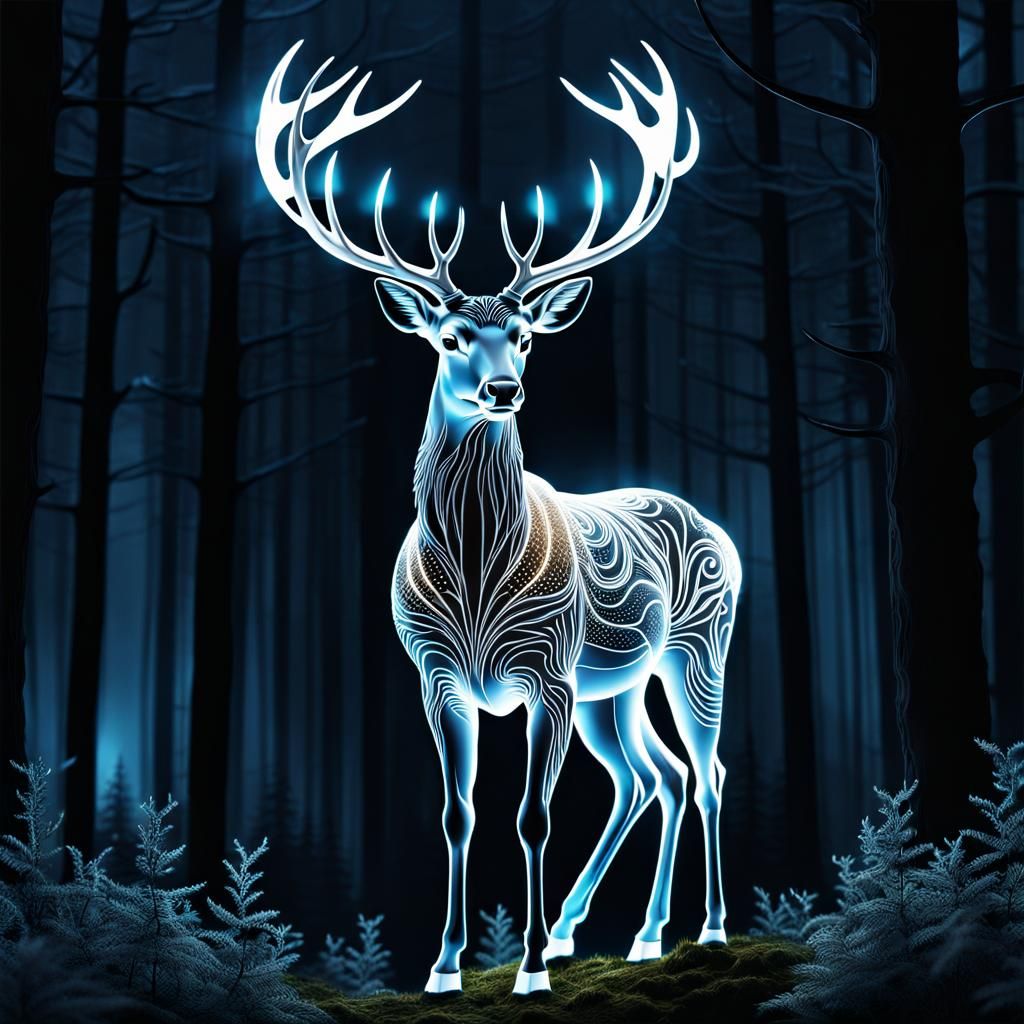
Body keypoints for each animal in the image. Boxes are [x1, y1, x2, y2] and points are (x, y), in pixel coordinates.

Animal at [256, 40, 741, 997]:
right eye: (448, 338)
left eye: (523, 336)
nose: (504, 390)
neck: (479, 576)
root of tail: (723, 532)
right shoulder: (435, 672)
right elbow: (458, 813)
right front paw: (445, 965)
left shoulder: (546, 672)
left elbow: (532, 816)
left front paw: (528, 970)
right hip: (615, 686)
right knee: (653, 778)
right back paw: (627, 934)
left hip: (696, 647)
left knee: (705, 772)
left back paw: (701, 929)